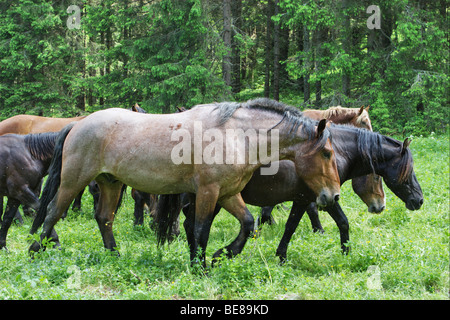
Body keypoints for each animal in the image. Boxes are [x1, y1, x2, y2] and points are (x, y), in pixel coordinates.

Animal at [30, 98, 342, 268]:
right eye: (327, 153)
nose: (334, 196)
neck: (235, 134)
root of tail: (78, 124)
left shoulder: (227, 193)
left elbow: (248, 223)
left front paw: (221, 255)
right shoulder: (208, 192)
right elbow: (201, 230)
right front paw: (201, 266)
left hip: (111, 183)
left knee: (104, 217)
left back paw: (114, 254)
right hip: (74, 181)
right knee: (53, 212)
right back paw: (36, 249)